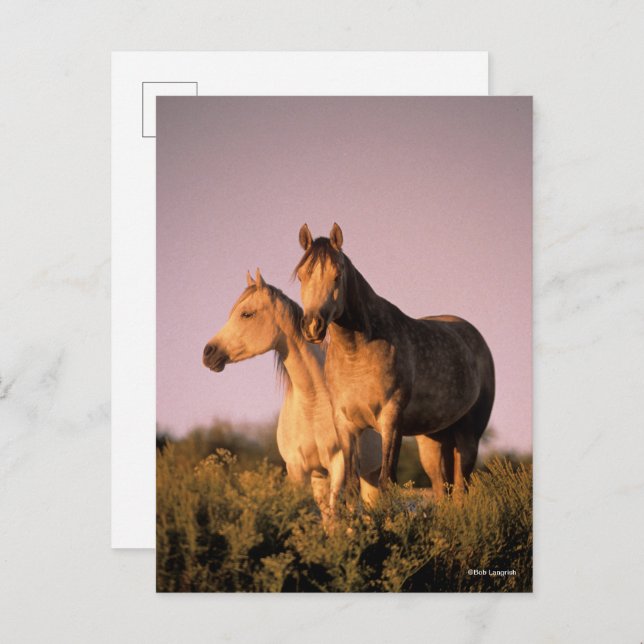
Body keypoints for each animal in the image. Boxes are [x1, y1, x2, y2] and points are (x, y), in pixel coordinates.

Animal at [202, 269, 382, 515]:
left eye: (246, 314)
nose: (208, 353)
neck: (313, 403)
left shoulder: (338, 465)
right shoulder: (299, 469)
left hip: (370, 473)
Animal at [294, 223, 495, 499]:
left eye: (337, 275)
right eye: (301, 275)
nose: (313, 326)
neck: (356, 353)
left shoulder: (391, 420)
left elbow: (386, 481)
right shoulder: (346, 425)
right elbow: (351, 486)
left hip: (469, 436)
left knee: (460, 491)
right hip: (433, 440)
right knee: (441, 489)